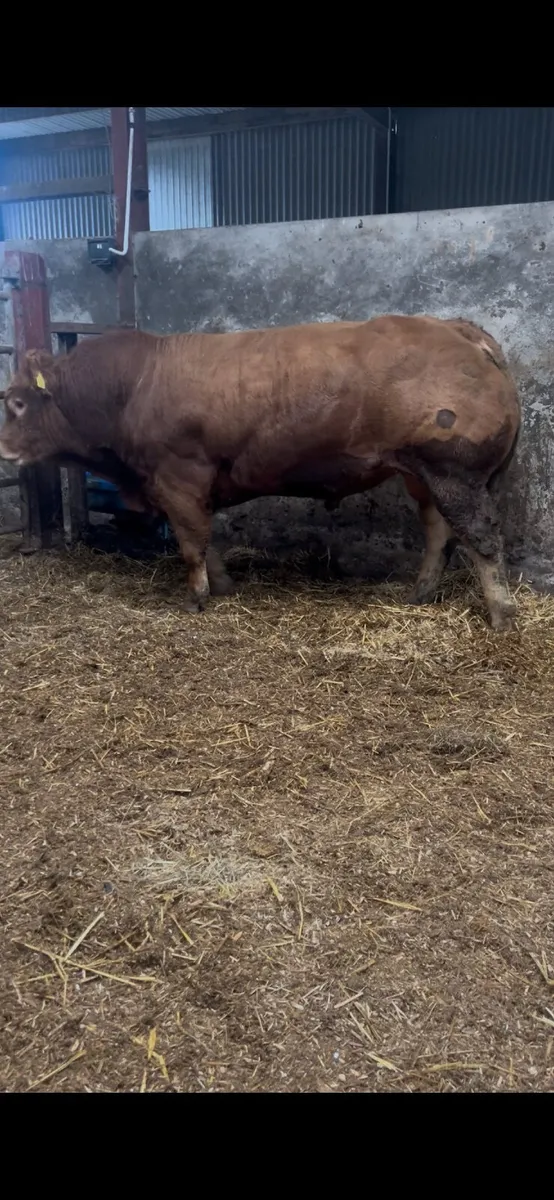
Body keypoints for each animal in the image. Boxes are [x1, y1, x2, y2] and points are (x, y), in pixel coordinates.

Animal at [0, 314, 521, 631]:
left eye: (17, 403)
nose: (3, 448)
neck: (132, 387)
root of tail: (456, 328)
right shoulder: (191, 486)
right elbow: (205, 539)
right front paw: (223, 585)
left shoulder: (179, 476)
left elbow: (191, 542)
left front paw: (196, 598)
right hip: (422, 474)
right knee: (439, 534)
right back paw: (421, 593)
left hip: (454, 472)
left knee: (483, 540)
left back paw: (502, 613)